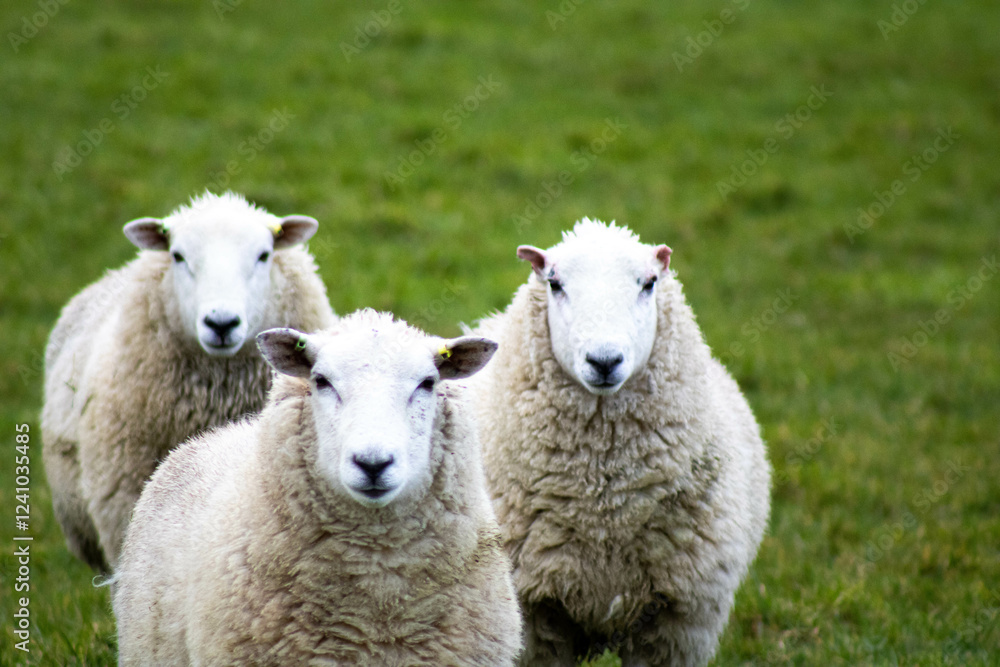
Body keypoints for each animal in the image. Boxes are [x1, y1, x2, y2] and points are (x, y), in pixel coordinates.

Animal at [466, 219, 771, 667]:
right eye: (554, 283)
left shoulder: (675, 623)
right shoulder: (537, 618)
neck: (603, 502)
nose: (604, 361)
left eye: (648, 283)